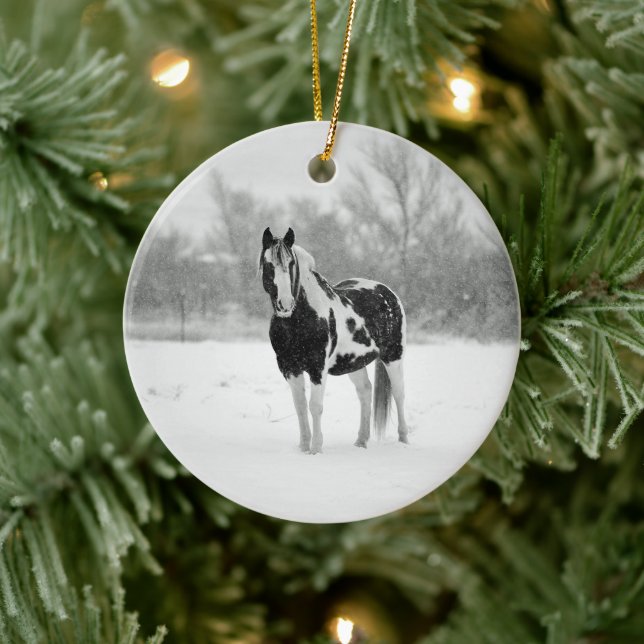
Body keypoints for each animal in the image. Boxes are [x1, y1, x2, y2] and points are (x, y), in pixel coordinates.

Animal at [259, 227, 409, 454]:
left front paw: (316, 450)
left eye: (291, 263)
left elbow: (315, 406)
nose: (285, 304)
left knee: (399, 393)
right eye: (268, 264)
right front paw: (303, 447)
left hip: (394, 356)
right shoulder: (289, 368)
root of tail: (387, 292)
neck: (300, 319)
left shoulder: (317, 368)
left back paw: (403, 441)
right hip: (355, 362)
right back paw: (361, 442)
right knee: (365, 391)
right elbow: (300, 405)